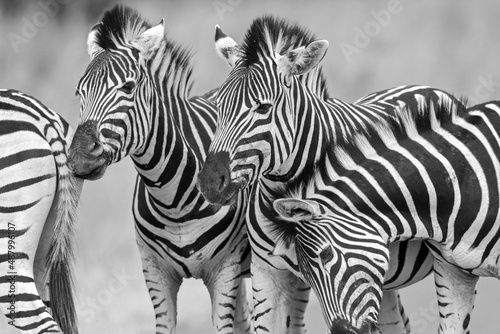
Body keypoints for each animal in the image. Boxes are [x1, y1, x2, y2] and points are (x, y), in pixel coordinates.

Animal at [68, 5, 252, 334]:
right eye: (80, 92)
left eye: (128, 87)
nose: (79, 157)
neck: (173, 200)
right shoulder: (155, 272)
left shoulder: (226, 269)